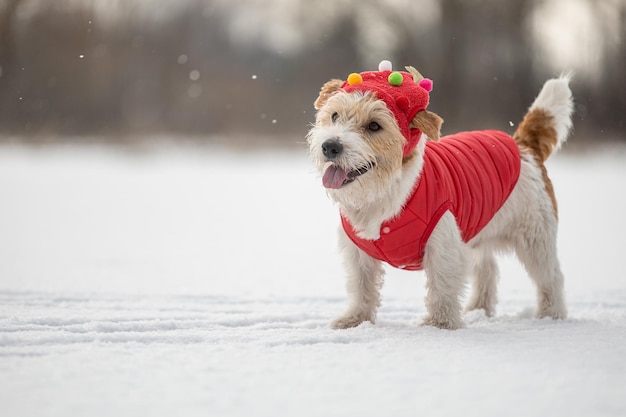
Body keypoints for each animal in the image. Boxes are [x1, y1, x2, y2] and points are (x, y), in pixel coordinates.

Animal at [304, 61, 572, 328]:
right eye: (334, 116)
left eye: (374, 126)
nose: (330, 146)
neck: (384, 192)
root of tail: (522, 145)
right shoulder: (358, 253)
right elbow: (362, 288)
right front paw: (355, 320)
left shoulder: (444, 246)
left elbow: (442, 288)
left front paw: (440, 324)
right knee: (487, 270)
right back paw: (478, 310)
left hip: (535, 239)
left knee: (551, 277)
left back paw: (551, 315)